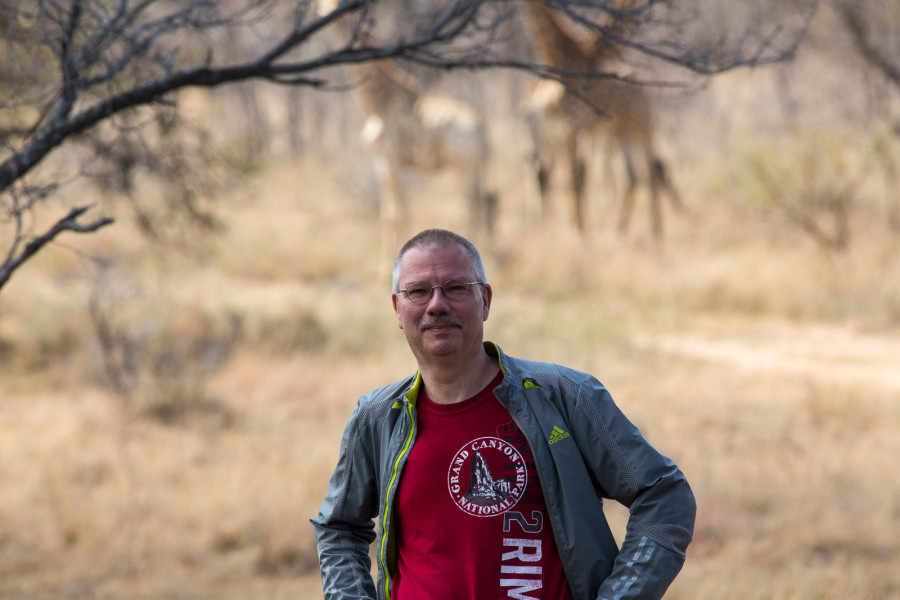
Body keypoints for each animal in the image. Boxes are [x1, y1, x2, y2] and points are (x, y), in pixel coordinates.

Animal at [520, 0, 684, 239]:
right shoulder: (557, 133)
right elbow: (568, 177)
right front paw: (568, 229)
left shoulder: (573, 128)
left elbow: (575, 178)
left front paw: (578, 232)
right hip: (619, 133)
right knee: (633, 175)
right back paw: (620, 230)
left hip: (642, 128)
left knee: (652, 170)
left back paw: (656, 233)